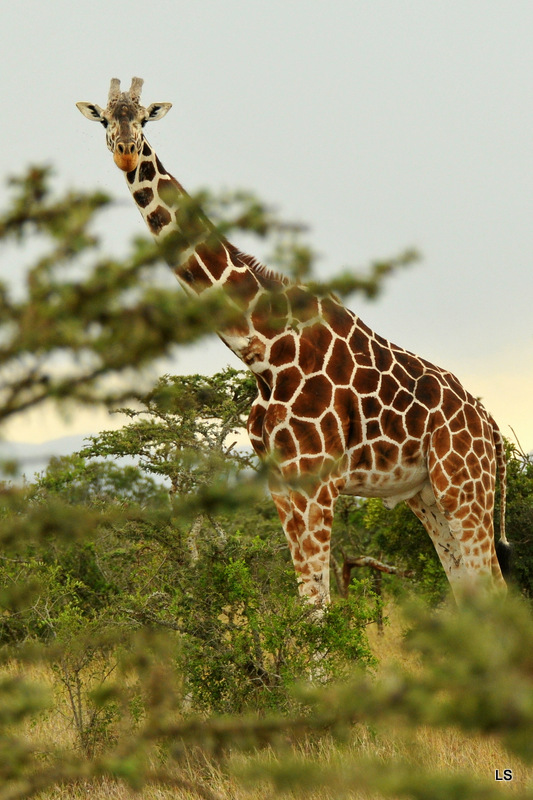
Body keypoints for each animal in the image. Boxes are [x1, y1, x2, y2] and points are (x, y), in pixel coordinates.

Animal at [77, 79, 510, 608]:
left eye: (142, 119)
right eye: (104, 119)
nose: (124, 151)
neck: (265, 352)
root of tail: (491, 428)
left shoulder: (318, 479)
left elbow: (317, 604)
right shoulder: (280, 483)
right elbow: (306, 598)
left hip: (463, 485)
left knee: (493, 584)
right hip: (426, 495)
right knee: (470, 587)